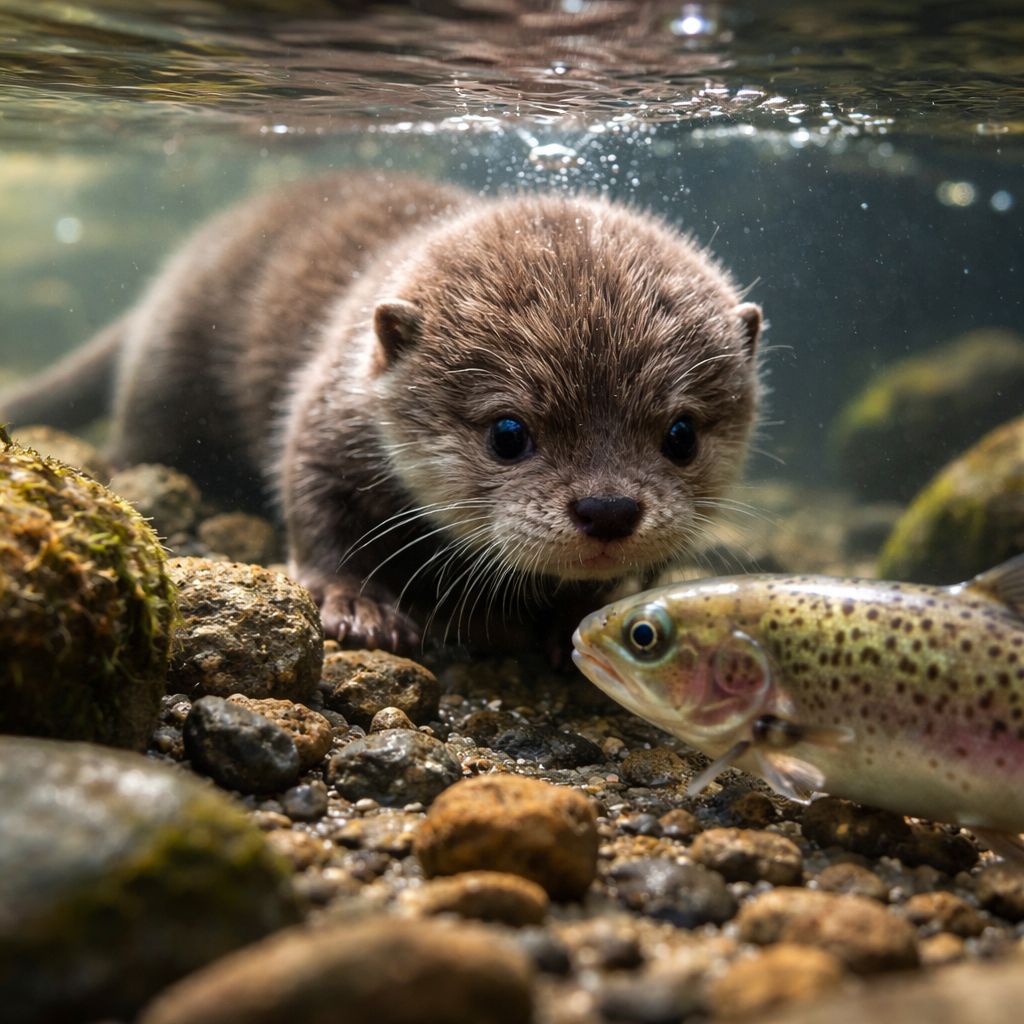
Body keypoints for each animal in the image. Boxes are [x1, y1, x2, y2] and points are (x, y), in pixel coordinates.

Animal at [1, 173, 763, 652]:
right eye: (508, 433)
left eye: (681, 435)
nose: (608, 510)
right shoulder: (326, 418)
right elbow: (316, 511)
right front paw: (357, 607)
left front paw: (575, 620)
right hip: (166, 372)